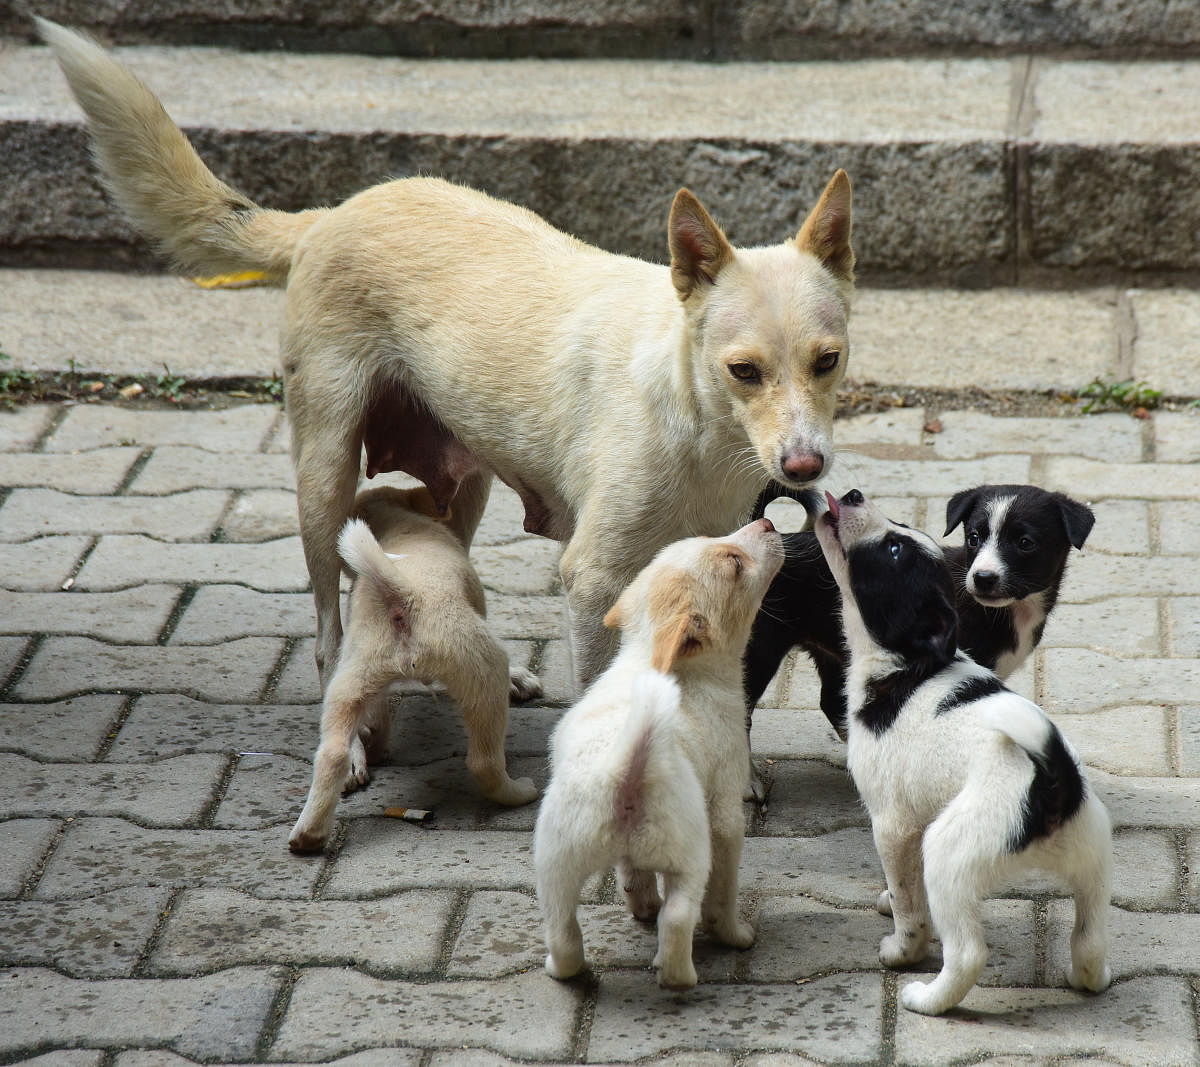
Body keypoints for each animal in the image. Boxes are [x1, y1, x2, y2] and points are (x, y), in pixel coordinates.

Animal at [37, 22, 859, 691]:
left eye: (829, 362)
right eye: (743, 371)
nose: (805, 466)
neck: (694, 417)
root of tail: (327, 215)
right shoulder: (594, 580)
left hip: (462, 489)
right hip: (323, 476)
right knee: (327, 624)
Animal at [288, 487, 537, 854]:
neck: (397, 521)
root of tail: (404, 597)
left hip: (351, 680)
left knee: (333, 754)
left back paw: (308, 836)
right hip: (485, 671)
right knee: (485, 763)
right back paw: (520, 791)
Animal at [537, 516, 782, 988]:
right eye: (734, 563)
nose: (766, 520)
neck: (647, 651)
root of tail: (621, 772)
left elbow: (634, 875)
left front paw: (641, 905)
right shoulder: (726, 812)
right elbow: (721, 893)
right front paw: (734, 934)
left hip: (556, 863)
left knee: (562, 929)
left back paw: (564, 969)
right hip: (689, 852)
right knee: (680, 916)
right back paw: (681, 975)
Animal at [748, 484, 1099, 739]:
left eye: (1025, 543)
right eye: (974, 538)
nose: (983, 578)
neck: (1009, 611)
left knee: (832, 700)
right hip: (760, 645)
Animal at [811, 489, 1108, 1017]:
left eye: (893, 550)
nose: (851, 494)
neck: (904, 663)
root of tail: (1053, 780)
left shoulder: (893, 825)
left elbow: (909, 903)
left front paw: (902, 947)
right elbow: (904, 889)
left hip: (950, 853)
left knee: (968, 952)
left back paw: (926, 998)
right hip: (1092, 859)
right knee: (1089, 940)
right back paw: (1085, 977)